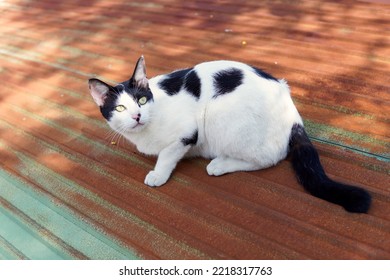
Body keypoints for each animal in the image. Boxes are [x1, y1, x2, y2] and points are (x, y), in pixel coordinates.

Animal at [88, 55, 372, 212]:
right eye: (120, 108)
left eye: (142, 100)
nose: (137, 116)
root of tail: (294, 116)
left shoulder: (187, 133)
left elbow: (168, 154)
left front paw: (158, 174)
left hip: (219, 115)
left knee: (267, 158)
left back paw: (219, 164)